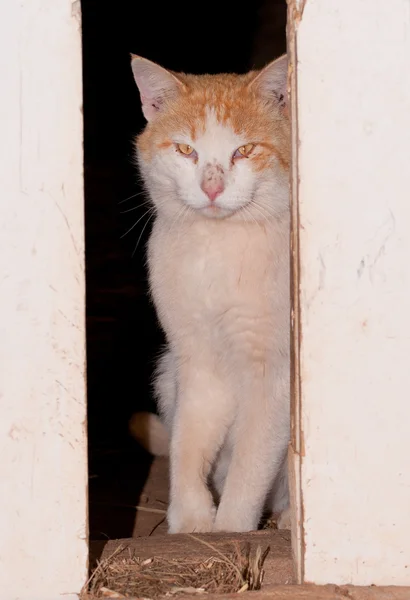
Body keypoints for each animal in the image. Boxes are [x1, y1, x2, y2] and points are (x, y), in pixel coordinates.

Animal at [130, 55, 290, 536]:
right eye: (186, 151)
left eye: (246, 150)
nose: (213, 187)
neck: (217, 249)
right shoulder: (194, 361)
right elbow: (187, 443)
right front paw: (190, 519)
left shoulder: (274, 375)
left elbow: (252, 461)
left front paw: (233, 528)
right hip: (166, 374)